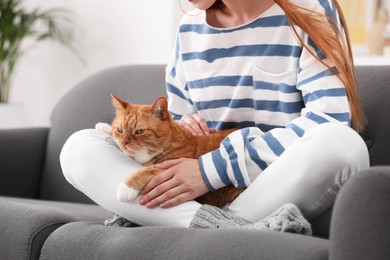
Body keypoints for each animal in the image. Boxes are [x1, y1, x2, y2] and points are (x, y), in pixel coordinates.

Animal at [96, 94, 244, 208]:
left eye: (140, 131)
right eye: (120, 130)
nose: (124, 142)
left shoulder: (175, 168)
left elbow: (148, 170)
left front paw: (127, 187)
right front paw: (104, 128)